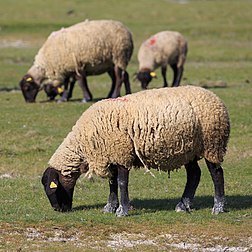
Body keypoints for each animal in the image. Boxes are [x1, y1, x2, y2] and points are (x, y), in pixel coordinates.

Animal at [41, 85, 230, 216]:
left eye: (53, 187)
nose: (58, 210)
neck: (83, 140)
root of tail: (216, 99)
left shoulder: (121, 152)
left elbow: (121, 183)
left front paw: (122, 211)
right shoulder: (112, 155)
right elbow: (112, 183)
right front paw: (110, 207)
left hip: (212, 145)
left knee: (217, 174)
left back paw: (218, 207)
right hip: (187, 149)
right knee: (194, 175)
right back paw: (182, 205)